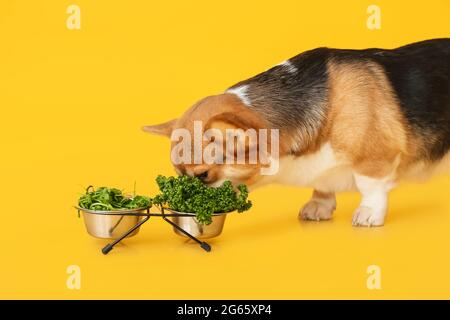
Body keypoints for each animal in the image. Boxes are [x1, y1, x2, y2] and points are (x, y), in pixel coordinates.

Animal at [144, 38, 450, 226]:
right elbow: (323, 185)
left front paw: (368, 213)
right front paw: (319, 206)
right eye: (178, 176)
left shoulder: (374, 158)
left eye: (204, 176)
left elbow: (370, 186)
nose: (183, 210)